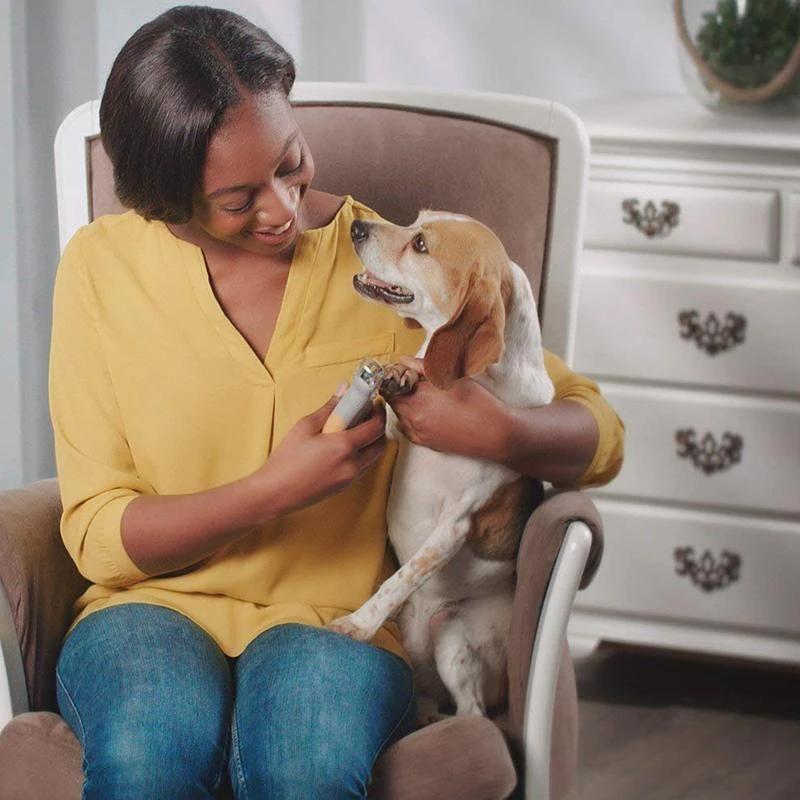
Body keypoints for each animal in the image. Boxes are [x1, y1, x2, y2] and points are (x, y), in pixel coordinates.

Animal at [328, 209, 552, 720]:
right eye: (417, 221)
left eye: (421, 245)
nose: (358, 227)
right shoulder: (394, 432)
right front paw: (397, 376)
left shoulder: (454, 525)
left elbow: (400, 578)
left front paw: (357, 625)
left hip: (454, 640)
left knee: (472, 715)